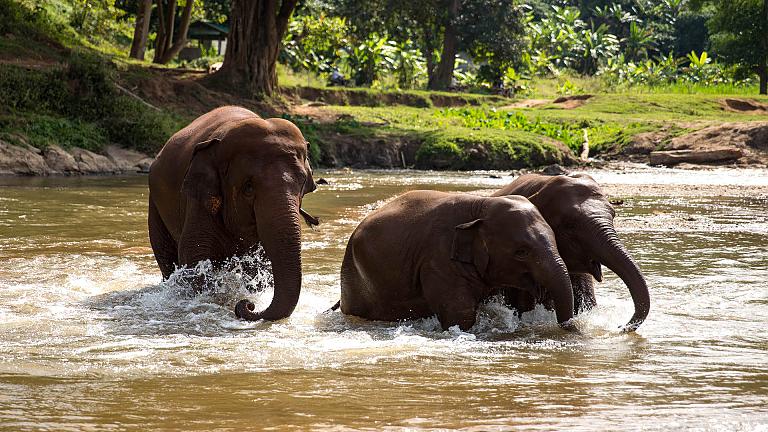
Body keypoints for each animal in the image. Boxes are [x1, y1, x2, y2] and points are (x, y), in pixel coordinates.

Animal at [148, 106, 318, 321]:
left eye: (302, 183)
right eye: (248, 187)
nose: (248, 305)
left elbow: (262, 263)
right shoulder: (198, 200)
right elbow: (194, 257)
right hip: (154, 203)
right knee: (166, 257)